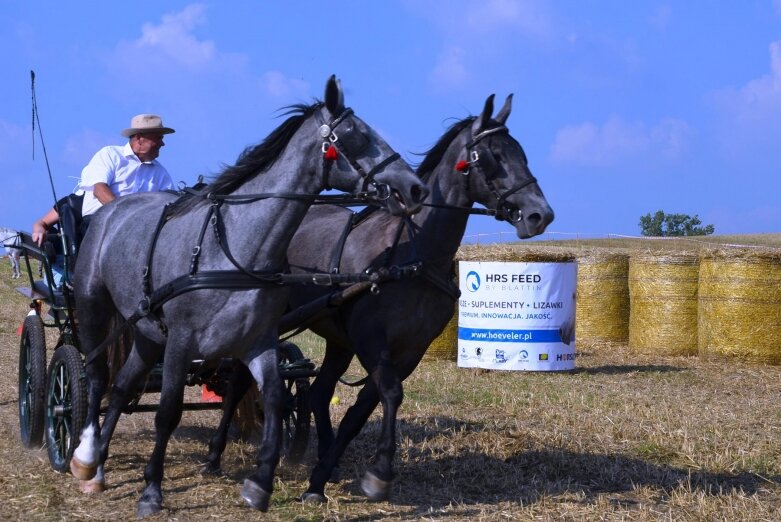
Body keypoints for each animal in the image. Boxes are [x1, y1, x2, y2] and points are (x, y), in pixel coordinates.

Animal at [68, 75, 426, 512]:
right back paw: (86, 457)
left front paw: (259, 483)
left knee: (121, 388)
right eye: (356, 137)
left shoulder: (258, 341)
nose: (416, 188)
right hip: (93, 307)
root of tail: (112, 212)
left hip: (148, 333)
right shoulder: (182, 342)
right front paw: (152, 490)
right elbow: (167, 413)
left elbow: (273, 399)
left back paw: (99, 462)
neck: (235, 247)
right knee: (96, 377)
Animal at [201, 93, 556, 500]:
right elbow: (390, 394)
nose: (540, 215)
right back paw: (214, 455)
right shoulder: (372, 340)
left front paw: (321, 477)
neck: (413, 254)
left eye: (521, 153)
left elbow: (362, 409)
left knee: (319, 392)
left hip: (338, 339)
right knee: (240, 384)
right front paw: (380, 472)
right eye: (494, 155)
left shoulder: (410, 350)